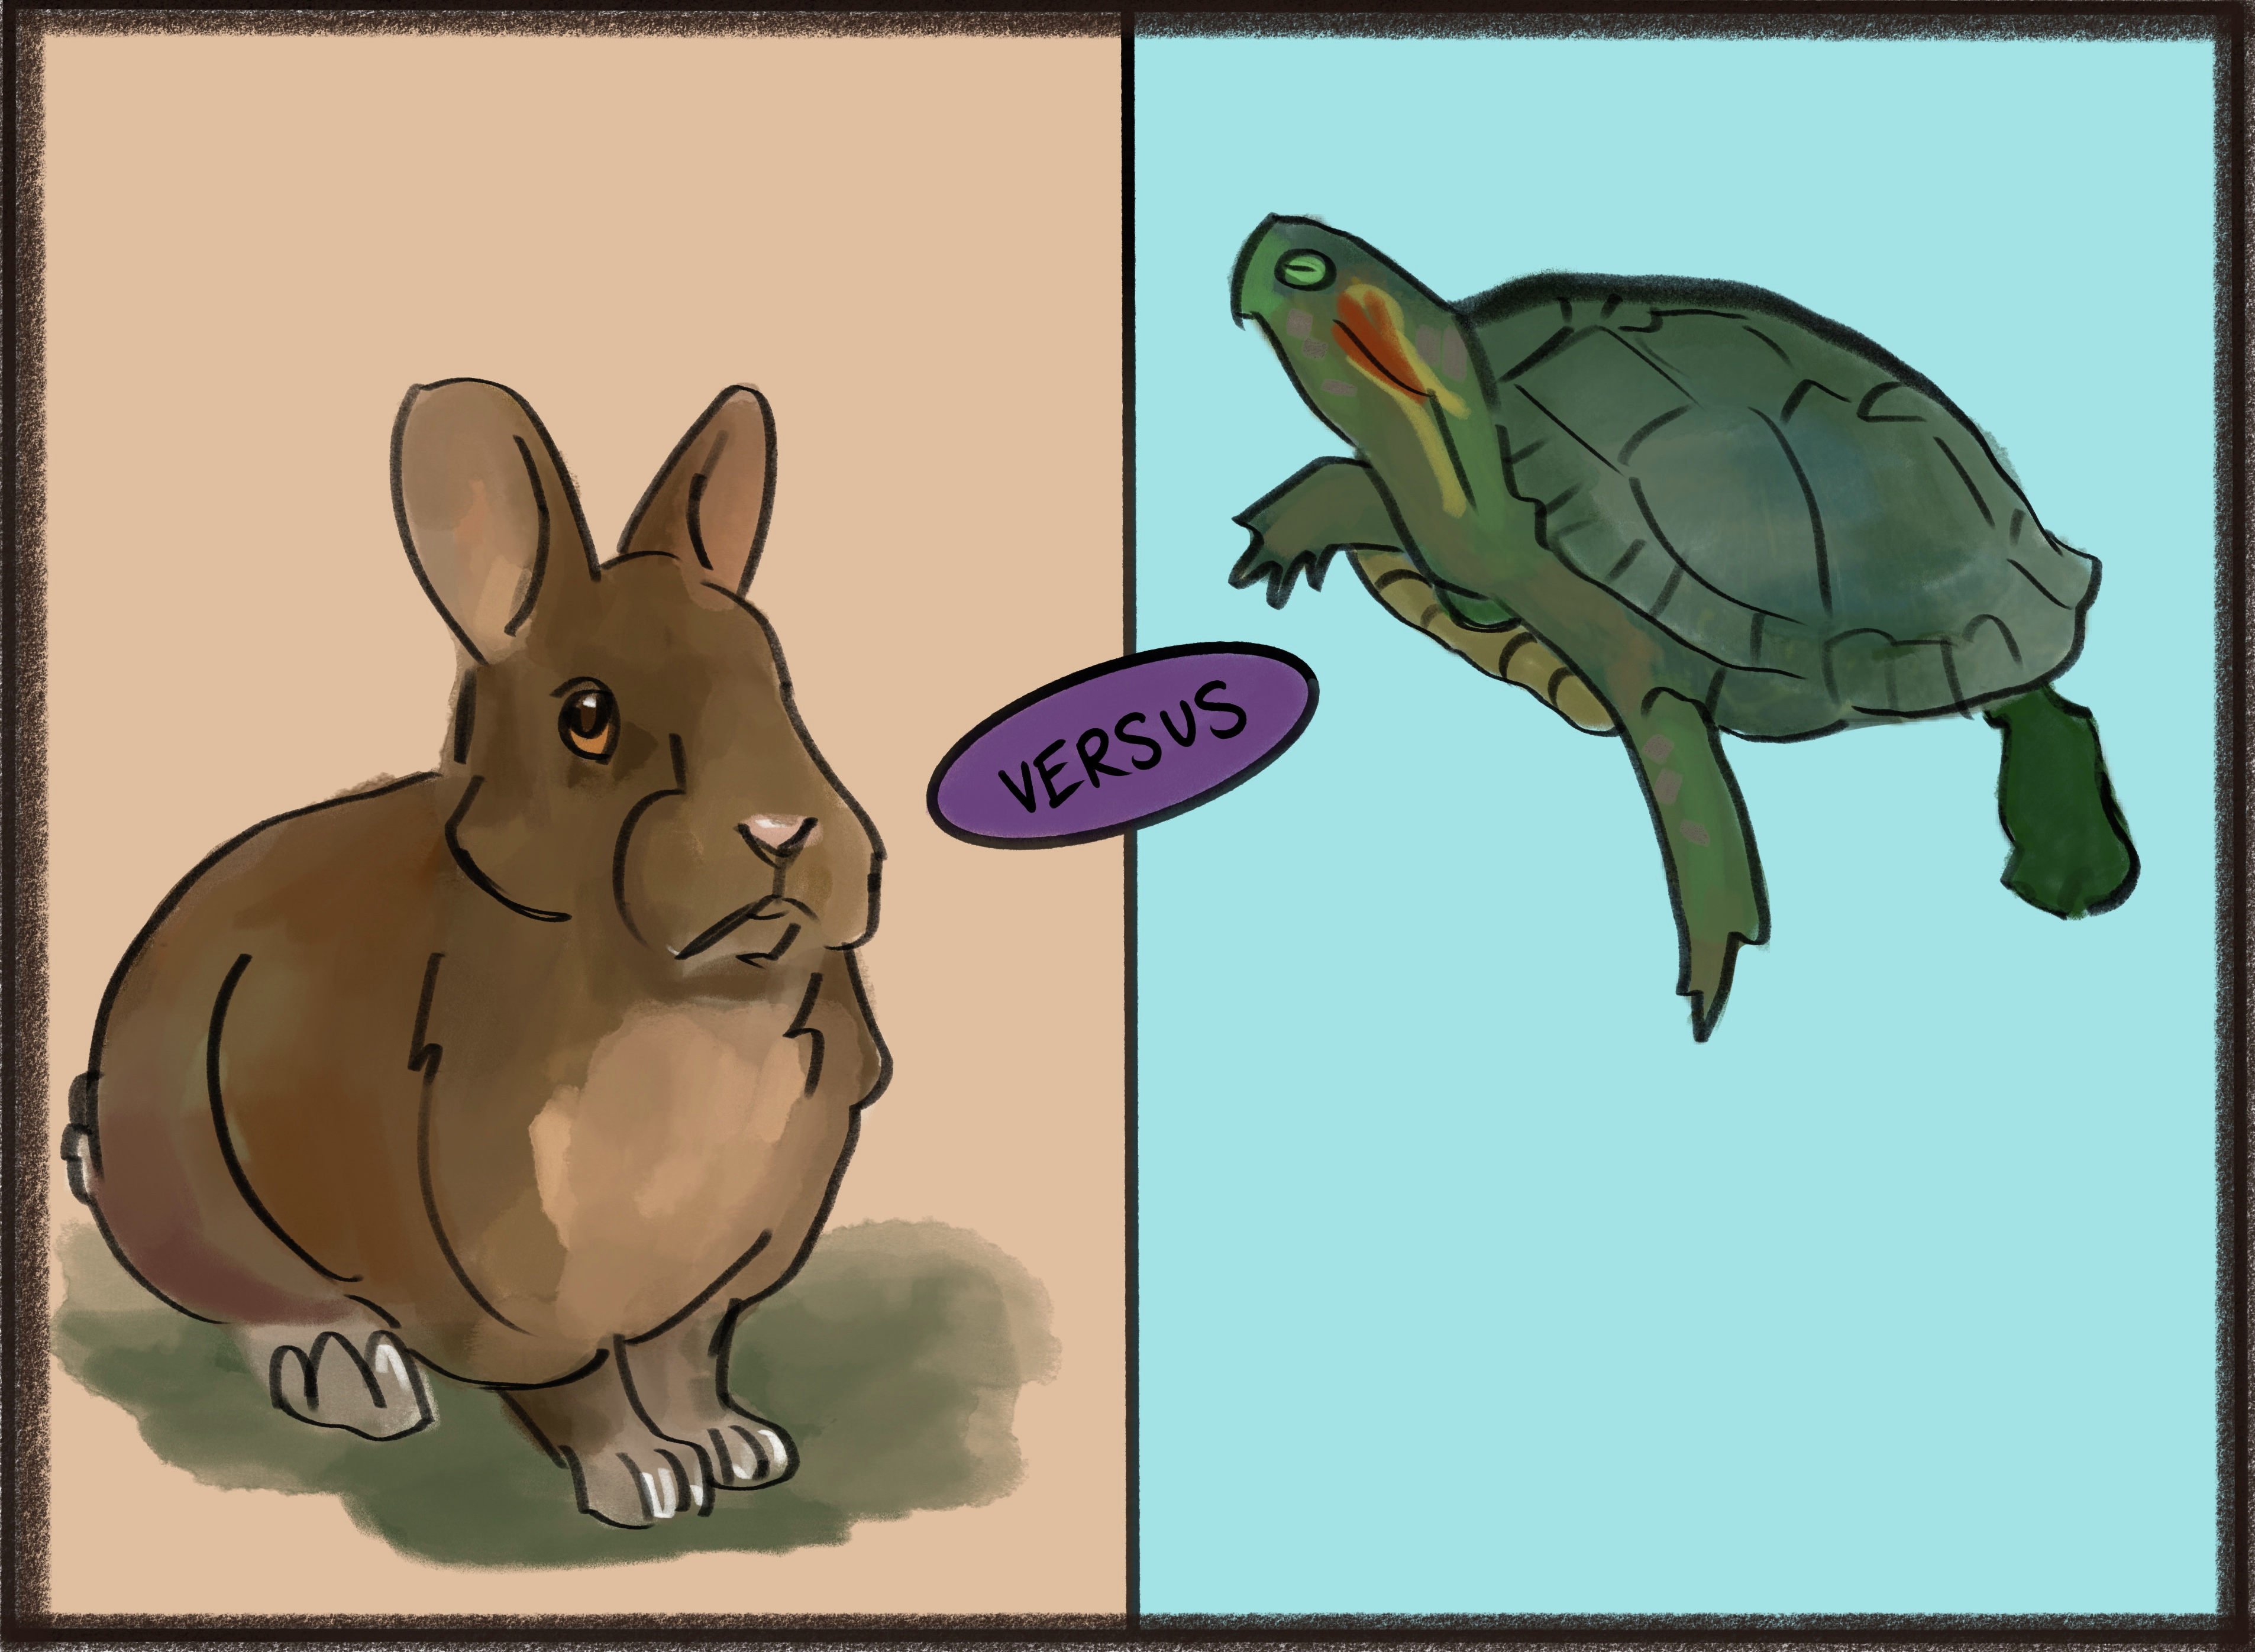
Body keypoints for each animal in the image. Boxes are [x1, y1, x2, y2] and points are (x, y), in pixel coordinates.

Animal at [61, 379, 889, 1527]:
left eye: (780, 682)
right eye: (587, 715)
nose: (781, 830)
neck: (688, 989)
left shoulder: (714, 1281)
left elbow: (684, 1361)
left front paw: (734, 1443)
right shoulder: (516, 1286)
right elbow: (584, 1389)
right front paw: (642, 1477)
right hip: (190, 1174)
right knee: (246, 1291)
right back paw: (345, 1368)